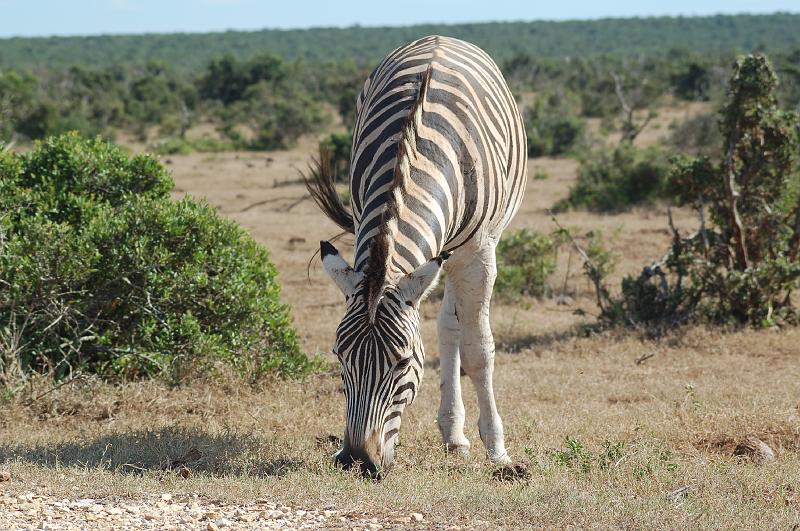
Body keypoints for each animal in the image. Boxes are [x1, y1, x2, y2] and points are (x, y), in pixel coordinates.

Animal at [306, 35, 527, 476]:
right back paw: (453, 434)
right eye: (340, 356)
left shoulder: (478, 253)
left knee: (453, 327)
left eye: (403, 362)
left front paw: (498, 451)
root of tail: (443, 37)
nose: (357, 461)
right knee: (450, 324)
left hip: (465, 252)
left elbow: (479, 350)